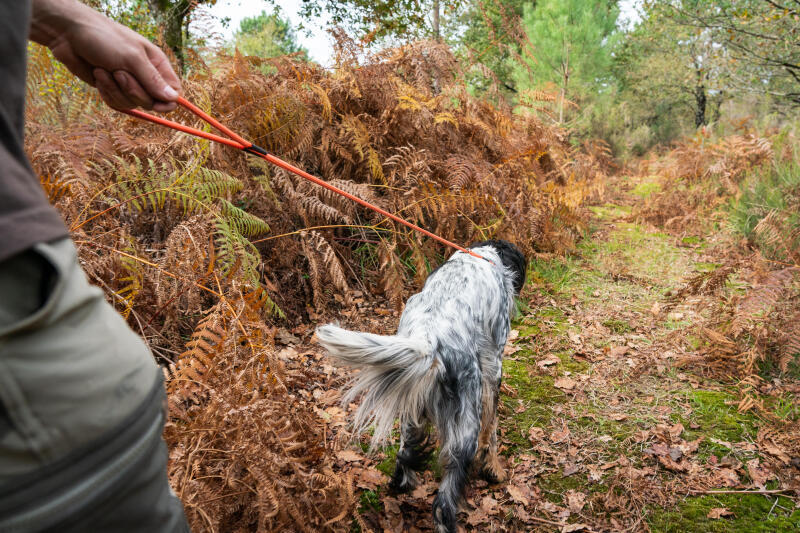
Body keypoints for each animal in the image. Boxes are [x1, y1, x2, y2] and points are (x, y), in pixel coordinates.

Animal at [316, 240, 528, 532]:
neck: (481, 257)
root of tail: (429, 340)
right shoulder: (492, 365)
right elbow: (491, 430)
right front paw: (494, 469)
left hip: (412, 409)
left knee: (405, 456)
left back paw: (402, 485)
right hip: (465, 426)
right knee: (443, 502)